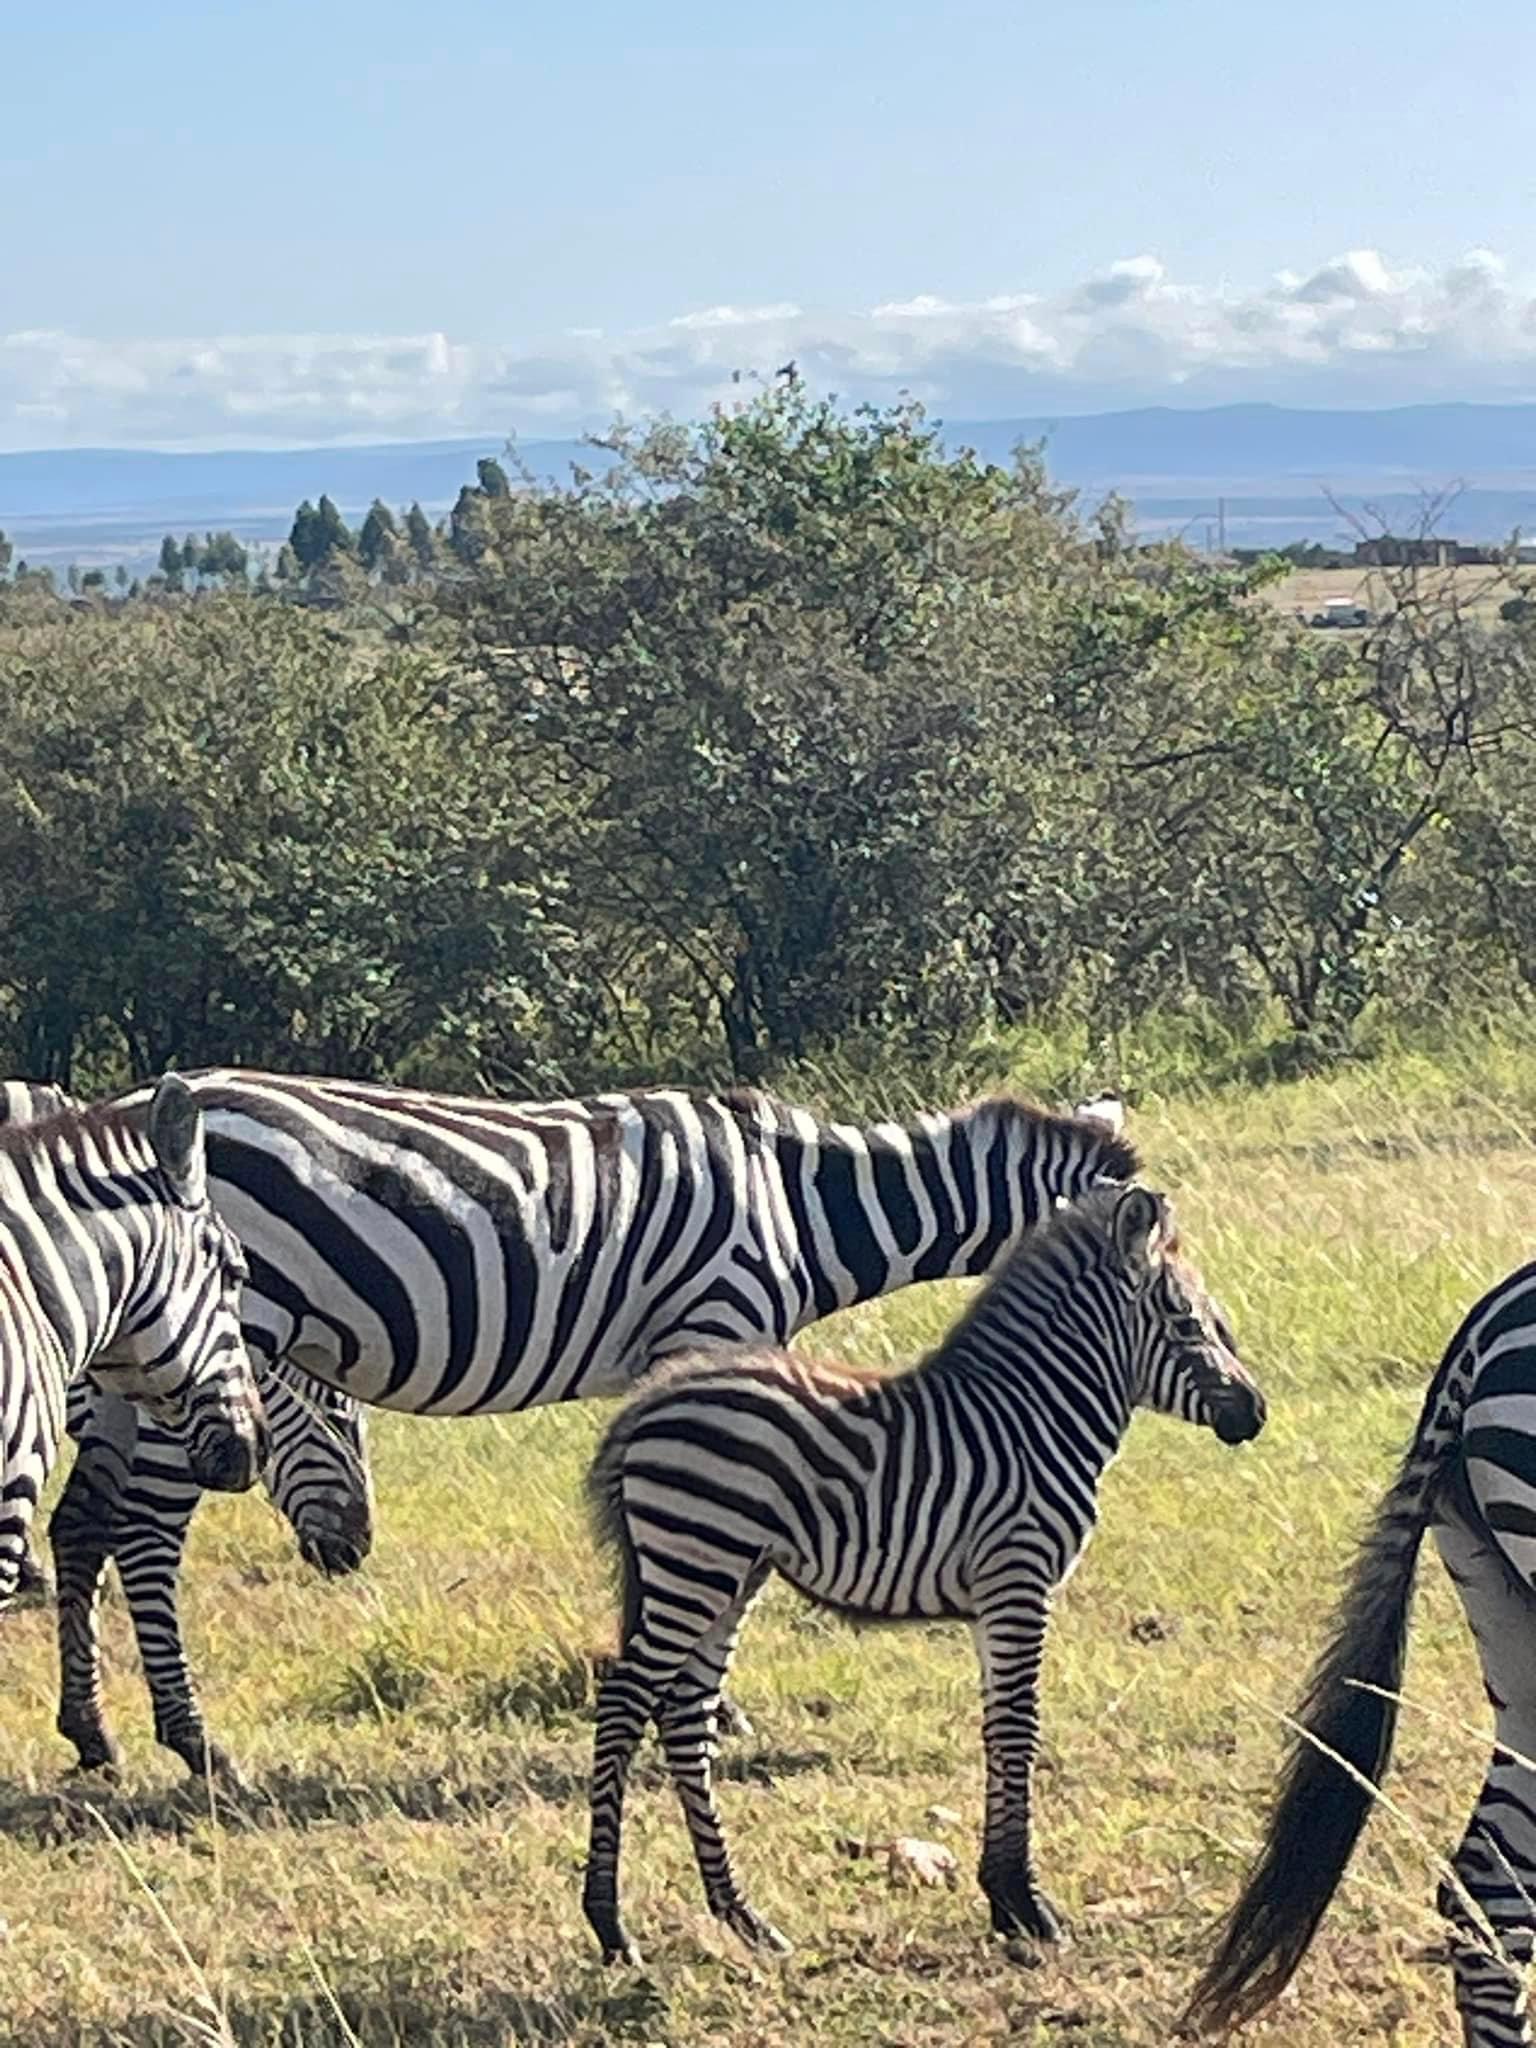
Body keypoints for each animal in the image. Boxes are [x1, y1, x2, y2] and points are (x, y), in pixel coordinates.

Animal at [48, 1068, 1139, 1775]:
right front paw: (707, 1704)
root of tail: (136, 1112)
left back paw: (93, 1735)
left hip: (139, 1356)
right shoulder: (715, 1322)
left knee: (85, 1524)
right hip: (212, 1338)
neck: (803, 1207)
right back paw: (194, 1742)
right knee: (146, 1534)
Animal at [581, 1182, 1266, 1964]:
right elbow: (1020, 1727)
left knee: (686, 1716)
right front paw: (1025, 1903)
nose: (1256, 1412)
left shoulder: (998, 1598)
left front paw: (1004, 1897)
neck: (1032, 1420)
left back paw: (743, 1917)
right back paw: (610, 1925)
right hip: (695, 1563)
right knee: (625, 1705)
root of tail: (648, 1402)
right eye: (1187, 1321)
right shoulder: (1018, 1578)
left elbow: (998, 1725)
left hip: (727, 1573)